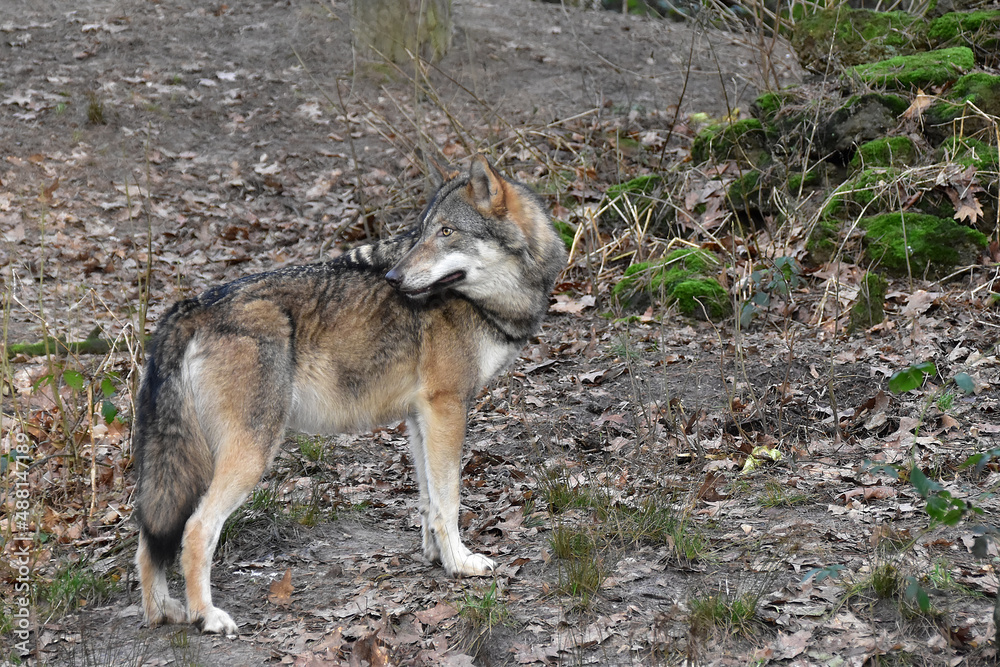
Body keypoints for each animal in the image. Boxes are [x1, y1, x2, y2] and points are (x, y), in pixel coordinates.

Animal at [132, 155, 566, 634]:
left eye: (445, 232)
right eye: (426, 232)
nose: (393, 278)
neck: (495, 303)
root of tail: (191, 306)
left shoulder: (420, 416)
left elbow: (427, 501)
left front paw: (435, 557)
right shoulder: (447, 406)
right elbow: (449, 501)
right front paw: (460, 563)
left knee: (147, 536)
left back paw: (163, 611)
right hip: (250, 454)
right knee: (195, 530)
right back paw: (206, 616)